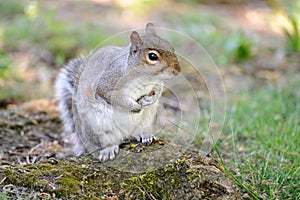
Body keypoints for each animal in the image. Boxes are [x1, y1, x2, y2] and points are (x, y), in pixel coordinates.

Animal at [54, 23, 180, 161]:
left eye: (171, 46)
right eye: (153, 56)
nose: (177, 70)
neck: (145, 77)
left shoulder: (157, 83)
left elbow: (157, 93)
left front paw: (147, 100)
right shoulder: (108, 82)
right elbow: (110, 95)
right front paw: (134, 106)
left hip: (148, 119)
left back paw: (145, 135)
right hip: (100, 127)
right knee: (107, 142)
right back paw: (109, 149)